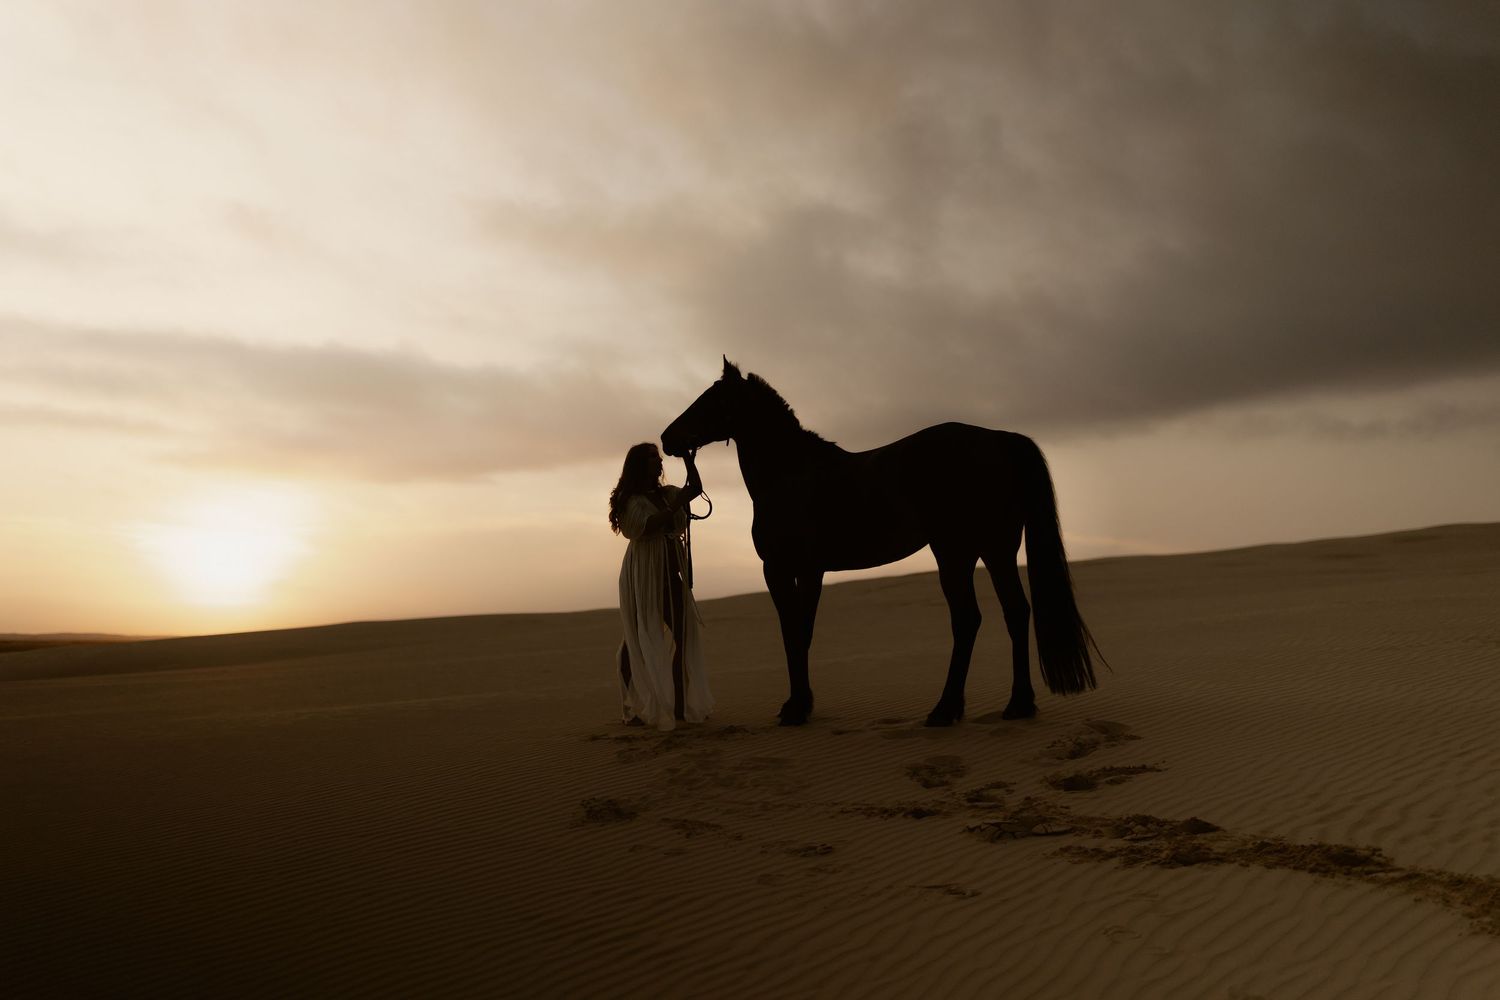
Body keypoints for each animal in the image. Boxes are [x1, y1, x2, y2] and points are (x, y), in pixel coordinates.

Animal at [661, 357, 1106, 727]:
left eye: (711, 400)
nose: (668, 438)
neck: (790, 476)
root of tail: (999, 439)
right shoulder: (810, 571)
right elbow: (802, 632)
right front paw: (802, 704)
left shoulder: (783, 569)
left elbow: (793, 633)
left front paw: (795, 708)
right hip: (994, 550)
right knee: (1015, 612)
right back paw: (1018, 704)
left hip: (955, 552)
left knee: (968, 619)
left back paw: (945, 710)